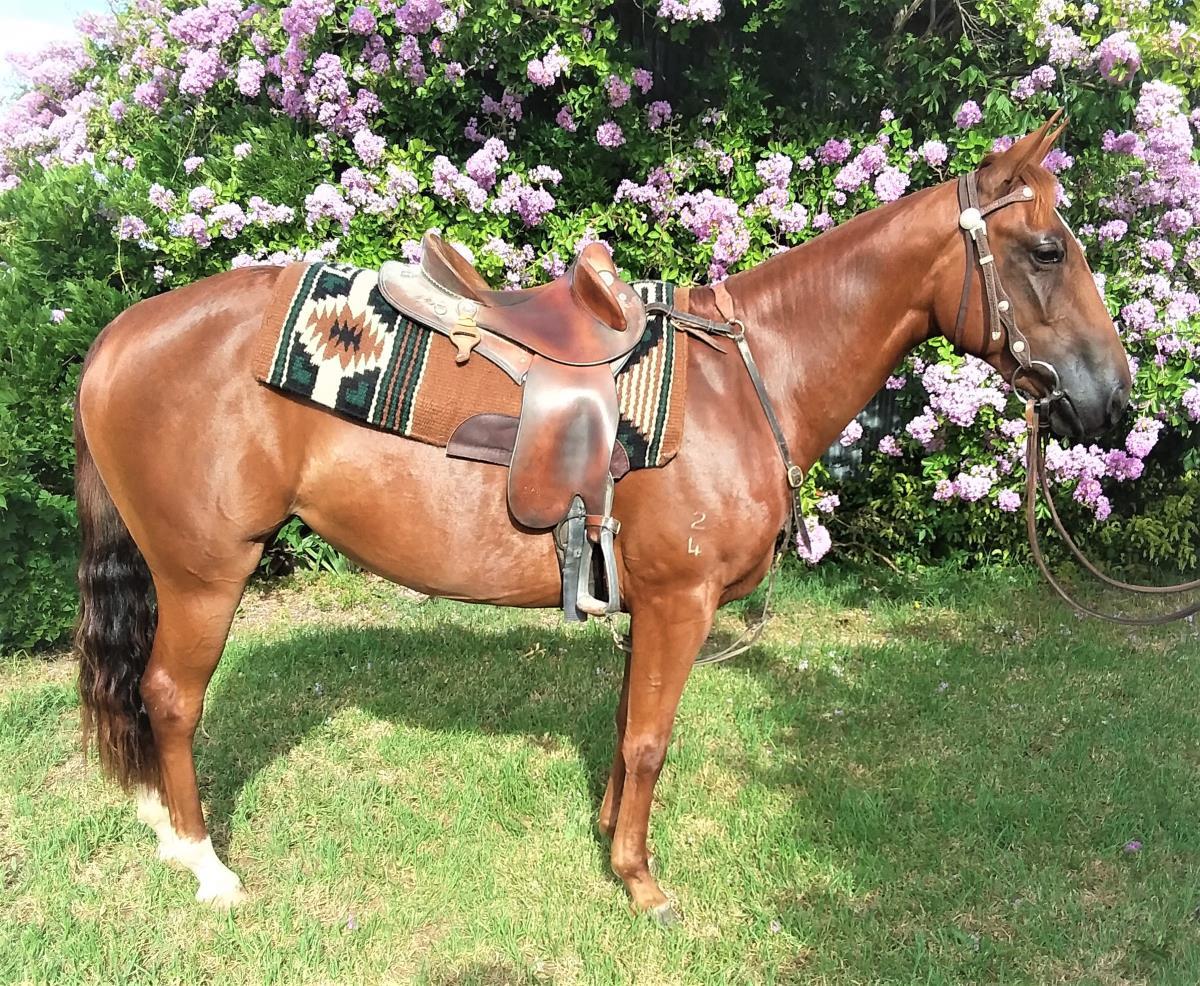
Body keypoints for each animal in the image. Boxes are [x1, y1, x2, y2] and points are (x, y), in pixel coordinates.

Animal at [74, 116, 1130, 921]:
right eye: (1047, 251)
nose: (1113, 402)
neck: (744, 379)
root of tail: (118, 338)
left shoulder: (647, 603)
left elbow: (626, 727)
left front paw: (607, 838)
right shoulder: (680, 602)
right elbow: (651, 740)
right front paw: (641, 882)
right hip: (205, 572)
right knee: (169, 697)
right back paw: (204, 863)